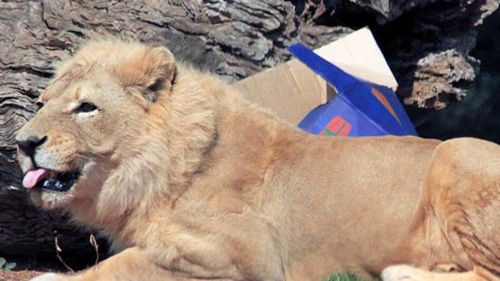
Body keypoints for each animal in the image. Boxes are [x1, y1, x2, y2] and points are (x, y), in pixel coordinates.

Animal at [15, 38, 500, 280]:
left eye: (86, 108)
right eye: (42, 102)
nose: (21, 143)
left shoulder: (245, 255)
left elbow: (124, 265)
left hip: (457, 149)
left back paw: (400, 273)